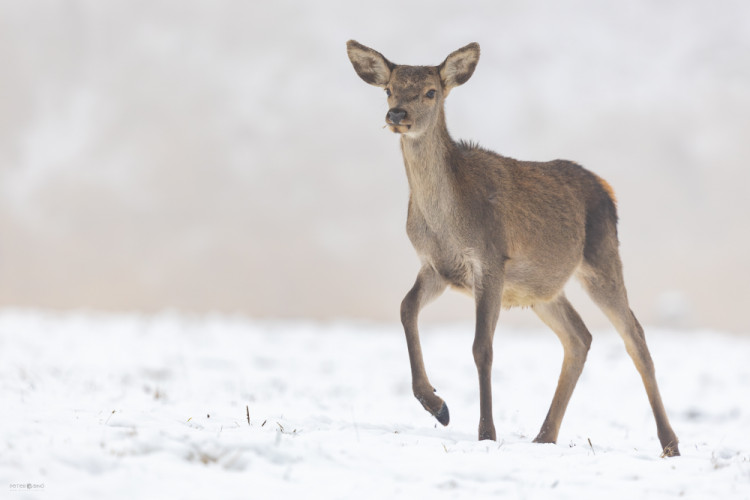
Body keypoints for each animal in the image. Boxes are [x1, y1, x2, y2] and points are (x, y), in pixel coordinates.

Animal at [346, 40, 680, 458]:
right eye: (389, 89)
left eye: (431, 92)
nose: (396, 114)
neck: (445, 224)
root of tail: (608, 188)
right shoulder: (437, 267)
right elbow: (406, 308)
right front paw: (437, 405)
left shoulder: (490, 259)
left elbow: (482, 347)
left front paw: (486, 432)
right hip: (541, 288)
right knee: (580, 337)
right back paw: (544, 436)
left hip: (601, 257)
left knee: (634, 336)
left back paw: (670, 444)